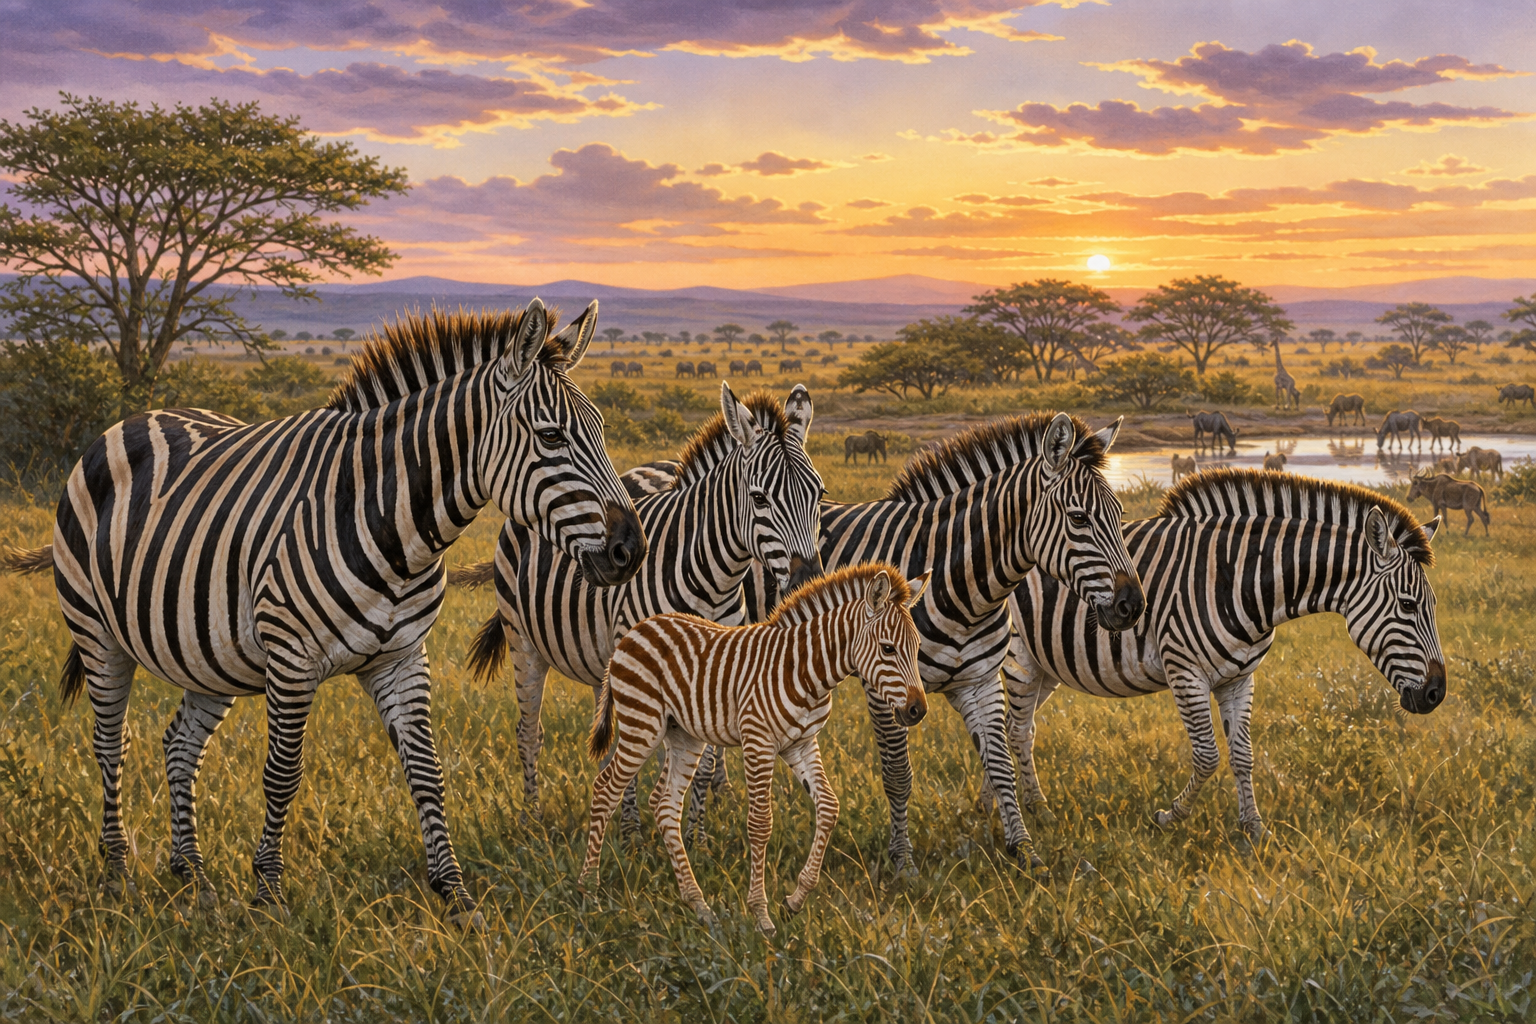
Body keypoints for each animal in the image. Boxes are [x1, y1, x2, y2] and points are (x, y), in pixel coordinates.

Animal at [26, 301, 642, 924]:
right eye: (551, 436)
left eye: (603, 431)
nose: (631, 550)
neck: (396, 529)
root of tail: (133, 419)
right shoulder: (292, 656)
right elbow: (282, 773)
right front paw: (269, 893)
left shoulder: (402, 657)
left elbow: (428, 772)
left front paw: (455, 894)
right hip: (96, 630)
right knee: (112, 743)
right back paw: (117, 874)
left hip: (211, 652)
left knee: (179, 744)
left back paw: (194, 875)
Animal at [455, 384, 824, 824]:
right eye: (759, 498)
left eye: (819, 494)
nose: (808, 581)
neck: (711, 577)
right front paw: (643, 828)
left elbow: (700, 761)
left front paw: (696, 830)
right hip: (523, 640)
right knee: (530, 732)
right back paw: (536, 819)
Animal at [580, 563, 928, 935]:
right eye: (888, 649)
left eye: (918, 647)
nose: (917, 711)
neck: (806, 669)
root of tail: (636, 630)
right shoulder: (758, 740)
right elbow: (761, 824)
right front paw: (761, 915)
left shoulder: (802, 744)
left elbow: (829, 807)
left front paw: (795, 900)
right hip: (642, 723)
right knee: (605, 789)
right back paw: (589, 890)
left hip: (684, 735)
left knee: (665, 805)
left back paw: (699, 905)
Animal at [633, 412, 1146, 872]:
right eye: (1078, 518)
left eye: (1120, 514)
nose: (1132, 605)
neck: (964, 584)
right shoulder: (886, 688)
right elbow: (898, 775)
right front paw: (903, 862)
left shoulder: (980, 681)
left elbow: (1000, 765)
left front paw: (1024, 851)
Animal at [996, 469, 1445, 842]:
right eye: (1408, 605)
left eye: (1433, 606)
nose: (1436, 694)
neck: (1239, 580)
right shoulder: (1185, 671)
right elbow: (1208, 756)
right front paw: (1170, 816)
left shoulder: (1240, 677)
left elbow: (1243, 755)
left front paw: (1255, 829)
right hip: (1019, 658)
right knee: (1016, 731)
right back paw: (1036, 809)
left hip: (1046, 664)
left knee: (1015, 729)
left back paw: (998, 803)